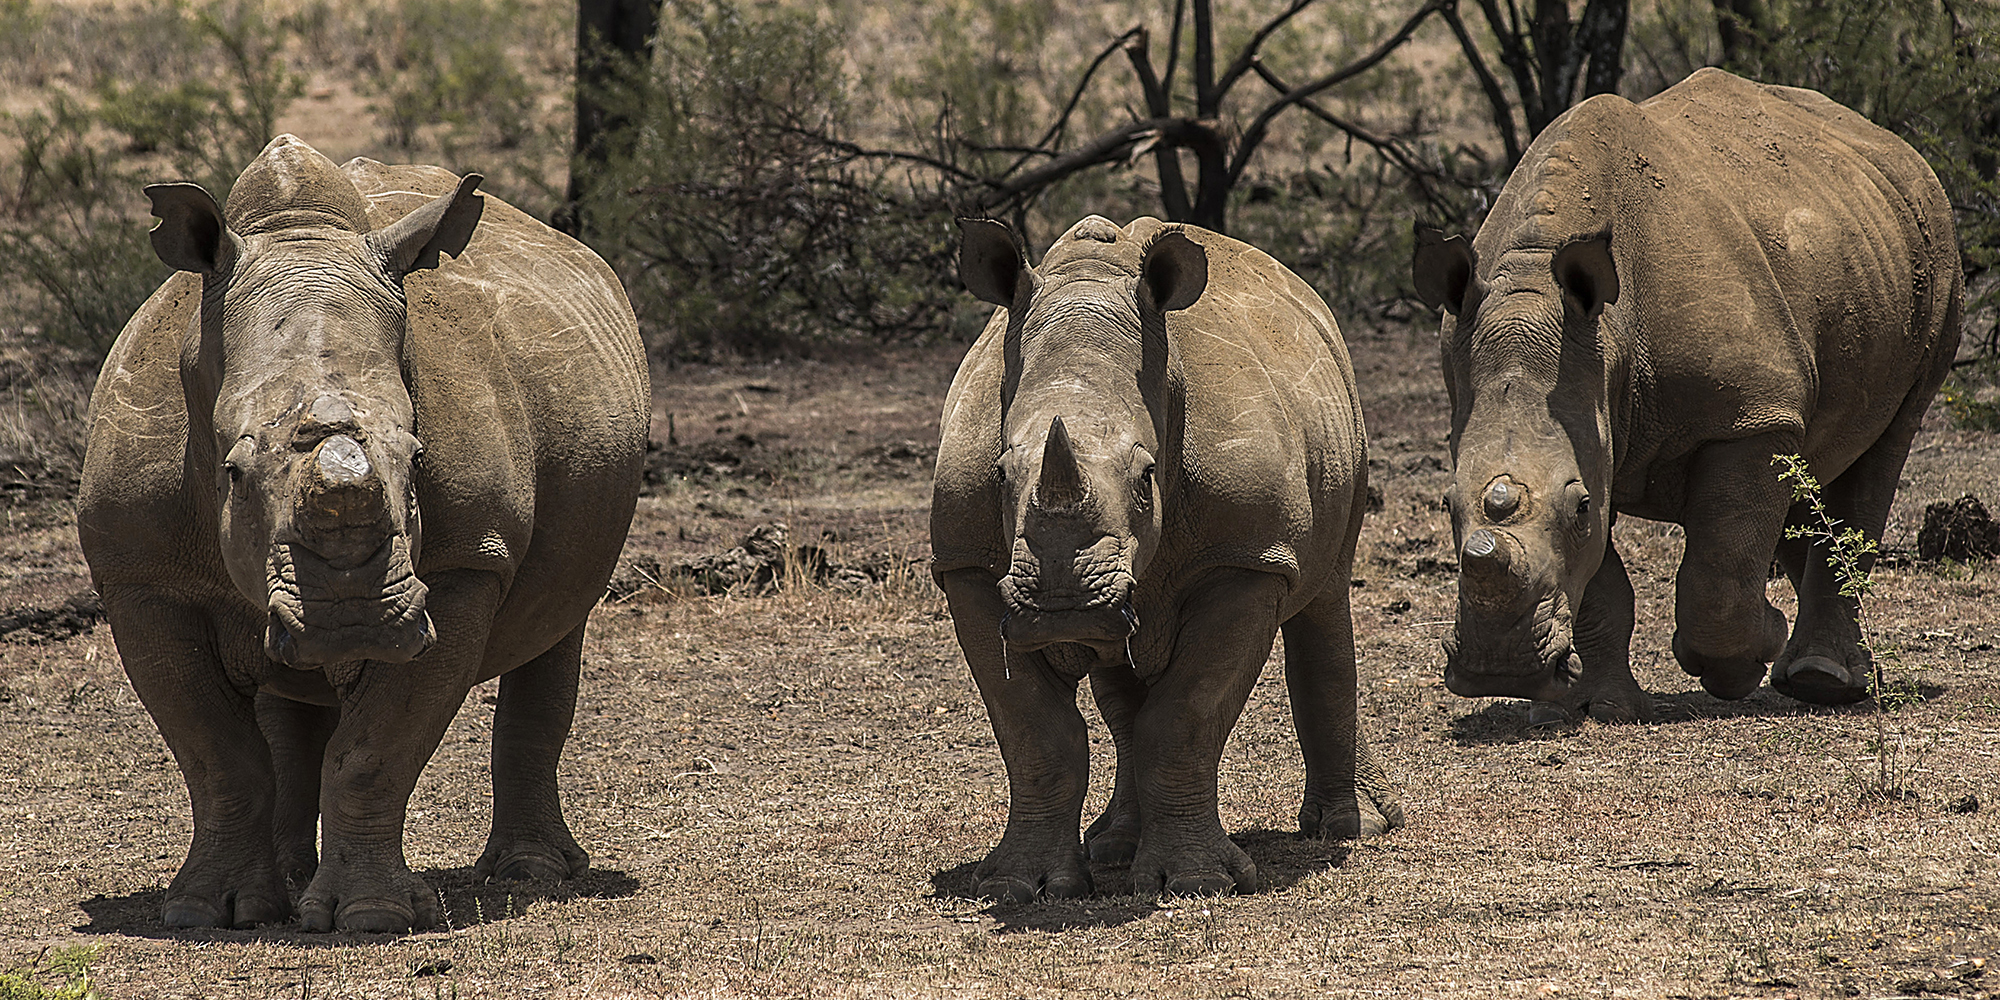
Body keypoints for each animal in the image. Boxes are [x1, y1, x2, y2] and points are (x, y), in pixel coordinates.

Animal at [77, 136, 648, 932]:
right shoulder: (139, 575)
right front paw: (205, 912)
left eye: (417, 457)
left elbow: (373, 750)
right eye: (232, 473)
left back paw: (530, 874)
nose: (351, 620)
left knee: (561, 623)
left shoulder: (466, 565)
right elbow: (219, 755)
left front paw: (373, 917)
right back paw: (281, 885)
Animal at [933, 215, 1403, 902]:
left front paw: (1195, 882)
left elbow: (1186, 715)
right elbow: (1035, 732)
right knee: (1126, 684)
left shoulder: (1245, 560)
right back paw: (1113, 846)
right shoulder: (967, 566)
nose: (1064, 607)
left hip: (1345, 419)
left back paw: (1350, 828)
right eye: (998, 474)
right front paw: (1022, 886)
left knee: (1324, 595)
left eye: (1147, 477)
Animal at [1412, 68, 1961, 721]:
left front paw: (1741, 663)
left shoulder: (1749, 416)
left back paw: (1822, 682)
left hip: (1937, 258)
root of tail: (1892, 144)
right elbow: (1602, 585)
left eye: (1578, 507)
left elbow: (1718, 573)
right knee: (1818, 459)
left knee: (1886, 444)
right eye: (1446, 504)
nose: (1496, 671)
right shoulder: (1589, 420)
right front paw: (1602, 706)